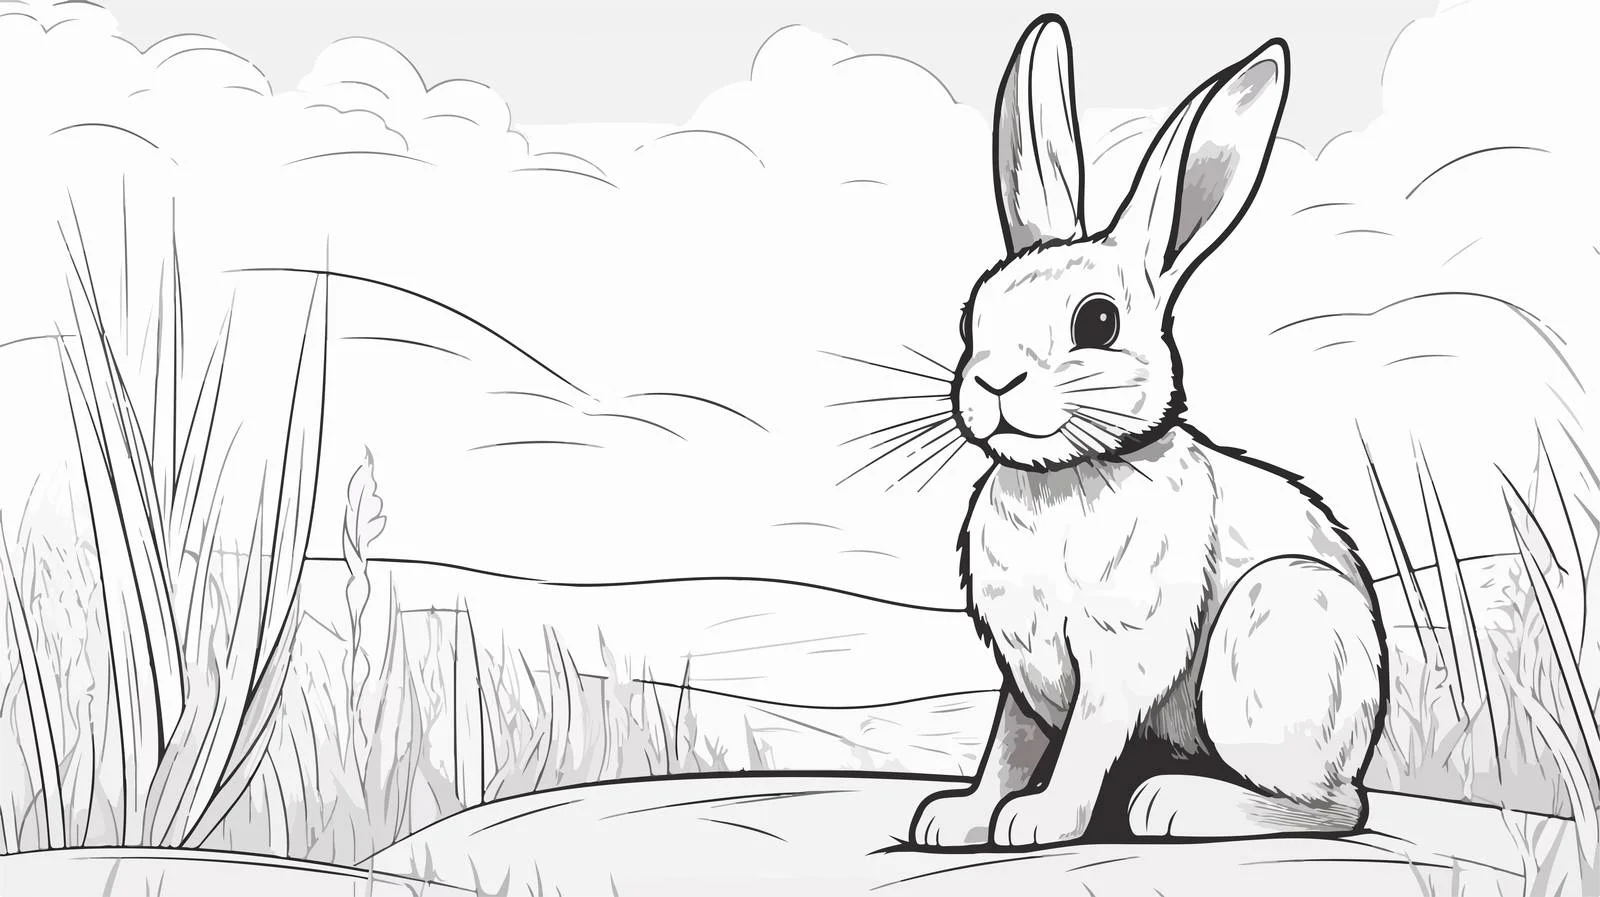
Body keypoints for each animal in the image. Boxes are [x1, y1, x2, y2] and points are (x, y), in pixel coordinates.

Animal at [907, 14, 1387, 847]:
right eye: (972, 315)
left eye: (1097, 322)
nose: (994, 385)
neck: (1064, 477)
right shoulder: (1022, 668)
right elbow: (1007, 745)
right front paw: (959, 816)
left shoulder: (1120, 652)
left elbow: (1082, 743)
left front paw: (1038, 821)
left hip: (1268, 636)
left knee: (1334, 807)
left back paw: (1171, 804)